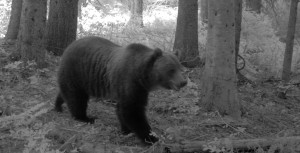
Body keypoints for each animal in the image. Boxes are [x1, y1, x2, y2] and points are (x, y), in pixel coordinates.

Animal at [54, 36, 186, 145]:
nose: (183, 82)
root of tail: (69, 46)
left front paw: (126, 130)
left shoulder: (137, 88)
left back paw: (58, 106)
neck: (143, 77)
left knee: (66, 93)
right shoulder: (130, 81)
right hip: (76, 70)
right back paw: (85, 118)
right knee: (76, 97)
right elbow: (132, 110)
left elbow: (122, 110)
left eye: (180, 68)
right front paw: (151, 138)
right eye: (171, 70)